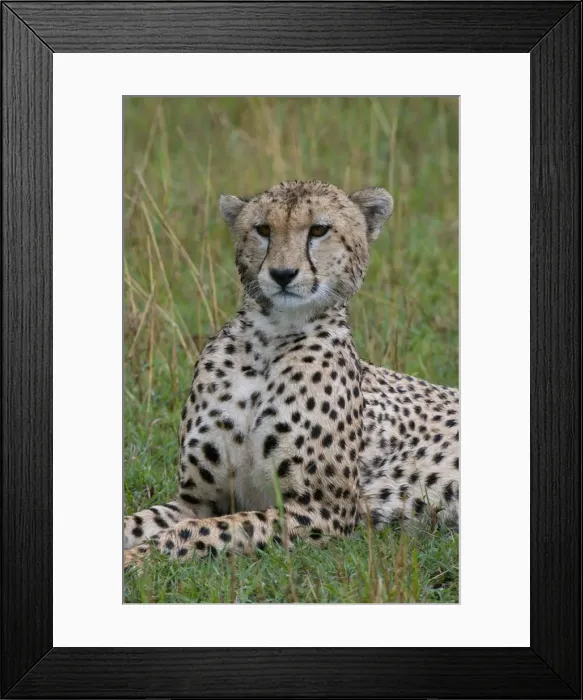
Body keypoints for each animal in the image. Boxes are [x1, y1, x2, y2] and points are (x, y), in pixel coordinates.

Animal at [124, 180, 459, 568]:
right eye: (263, 230)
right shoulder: (196, 501)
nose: (282, 274)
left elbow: (198, 531)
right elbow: (138, 522)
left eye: (319, 230)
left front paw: (136, 558)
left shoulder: (324, 511)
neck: (269, 339)